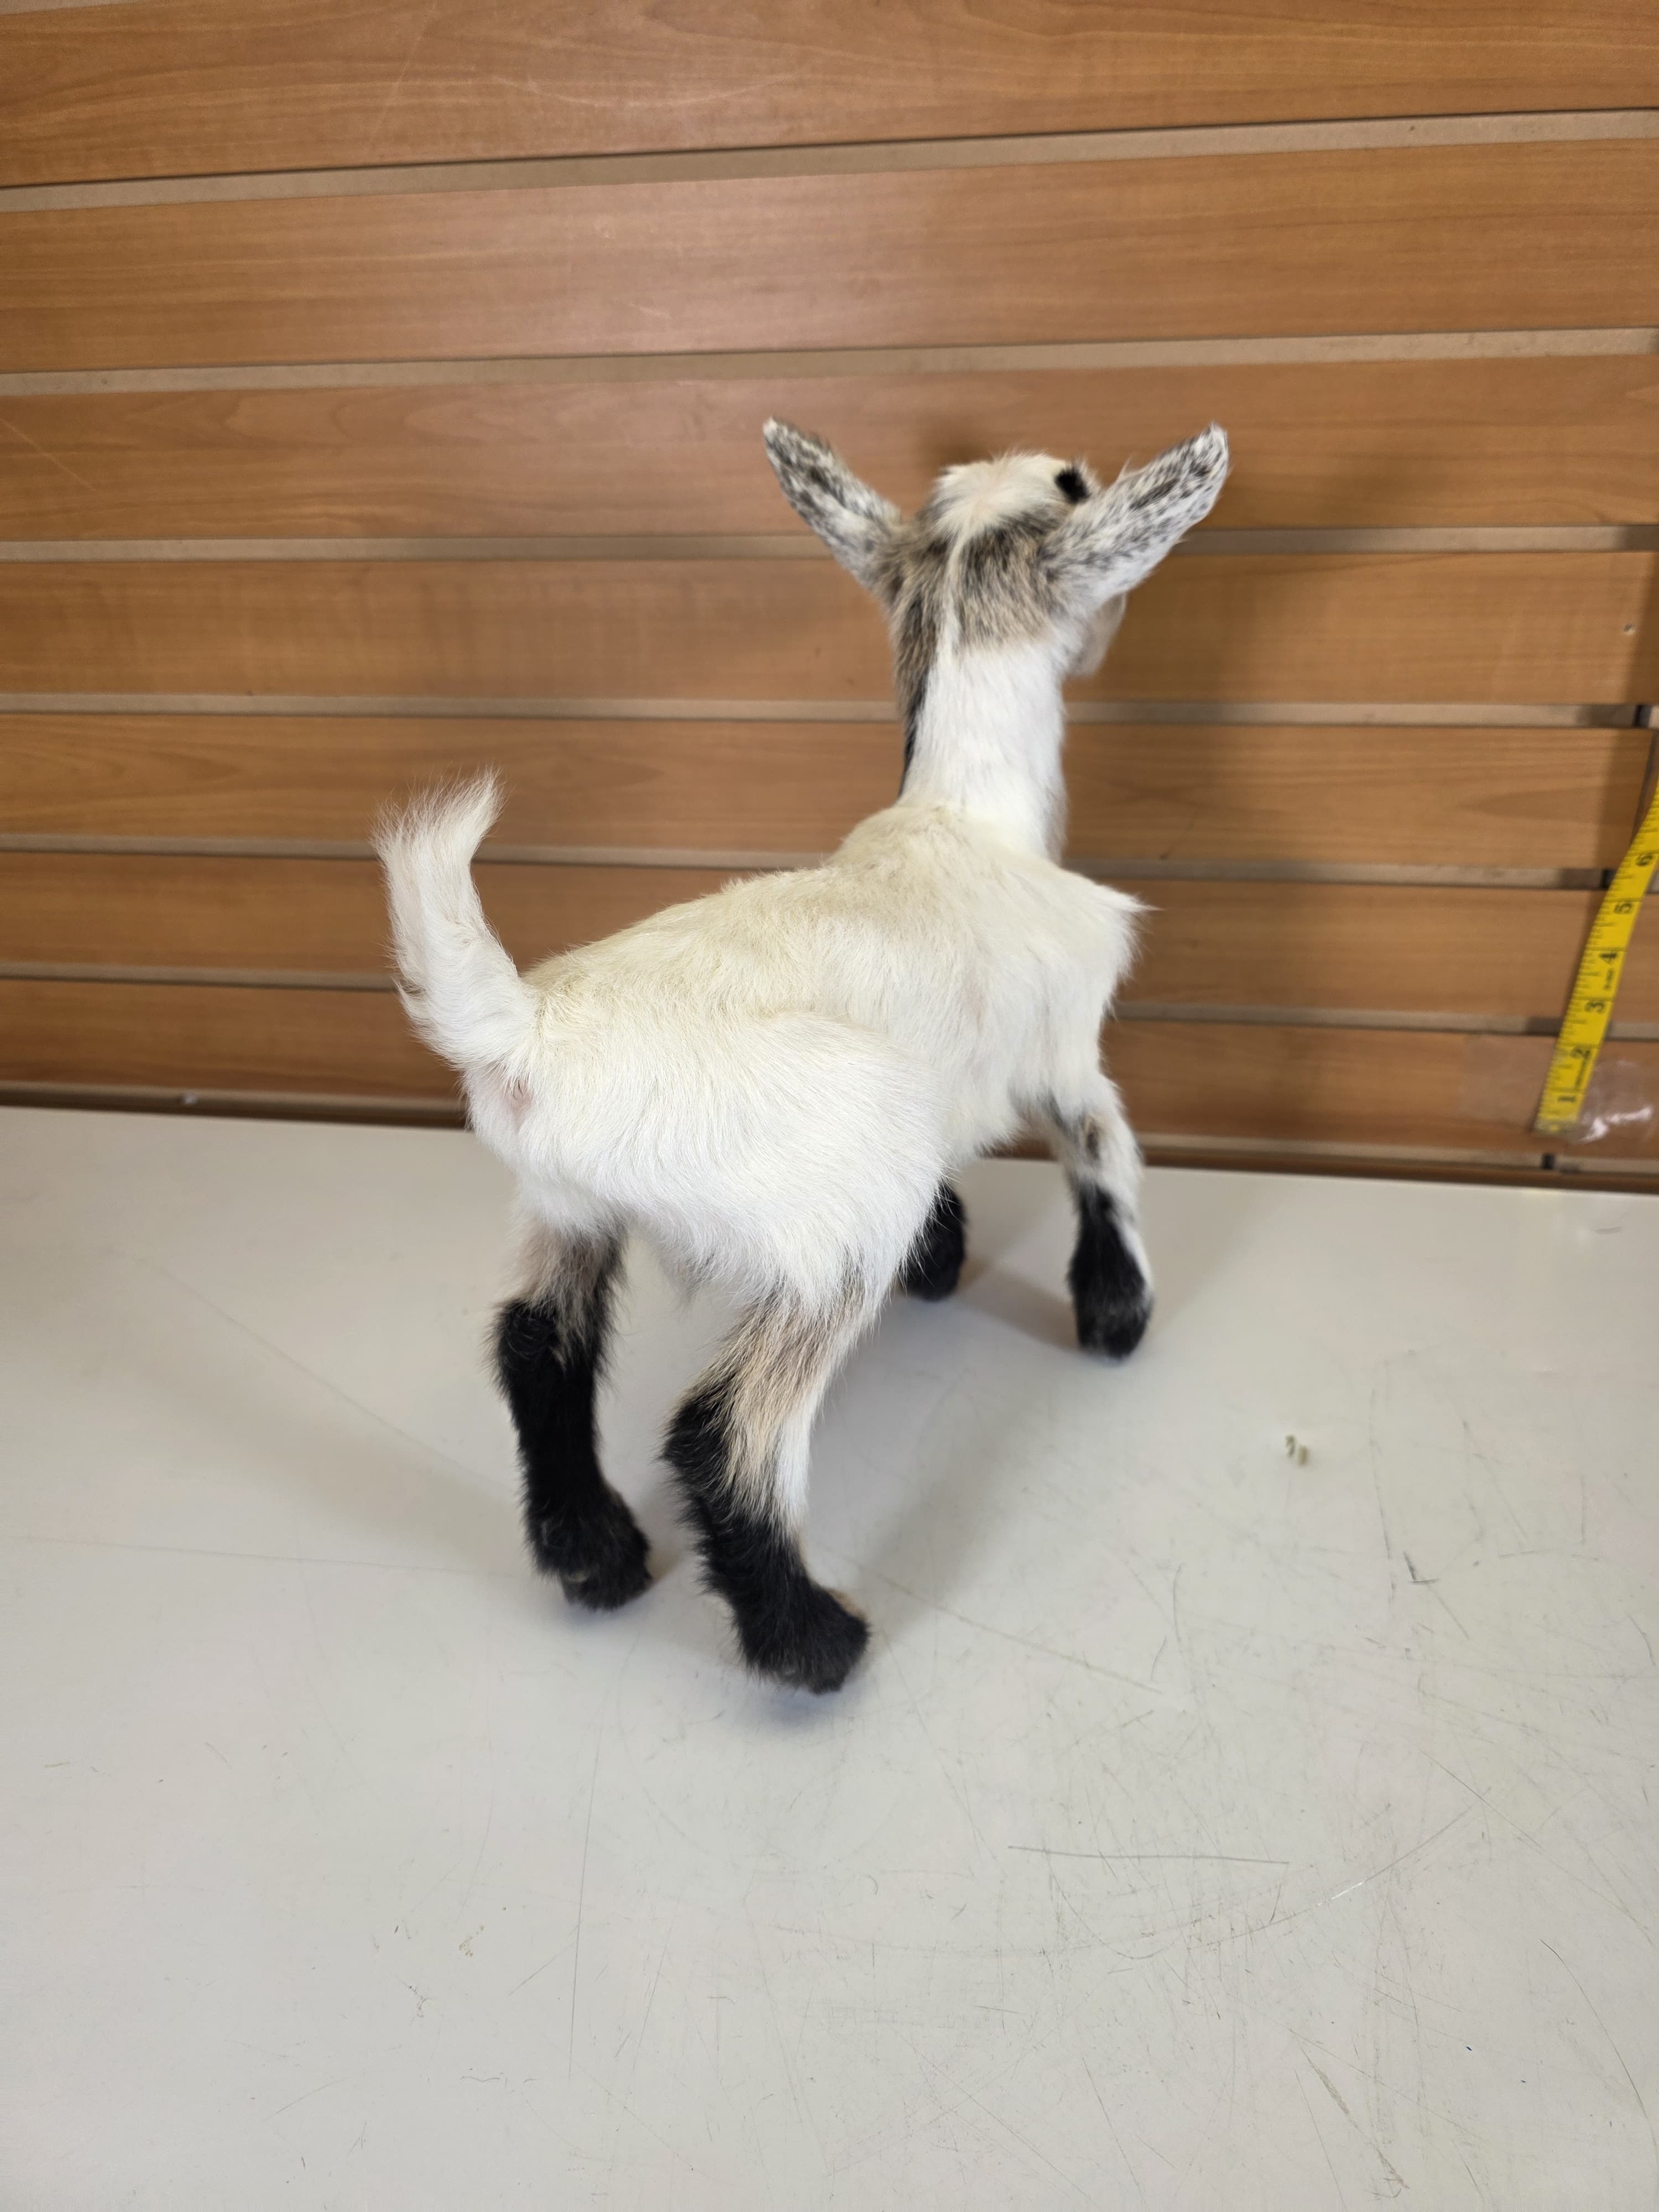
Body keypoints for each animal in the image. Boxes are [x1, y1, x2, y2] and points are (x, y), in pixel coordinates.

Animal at [376, 418, 1229, 1693]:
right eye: (1074, 487)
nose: (1073, 459)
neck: (962, 811)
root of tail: (522, 1022)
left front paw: (947, 1261)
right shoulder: (1067, 1050)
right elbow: (1106, 1154)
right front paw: (1118, 1315)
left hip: (569, 1206)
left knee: (533, 1345)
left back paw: (594, 1556)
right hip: (839, 1210)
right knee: (724, 1430)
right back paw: (812, 1642)